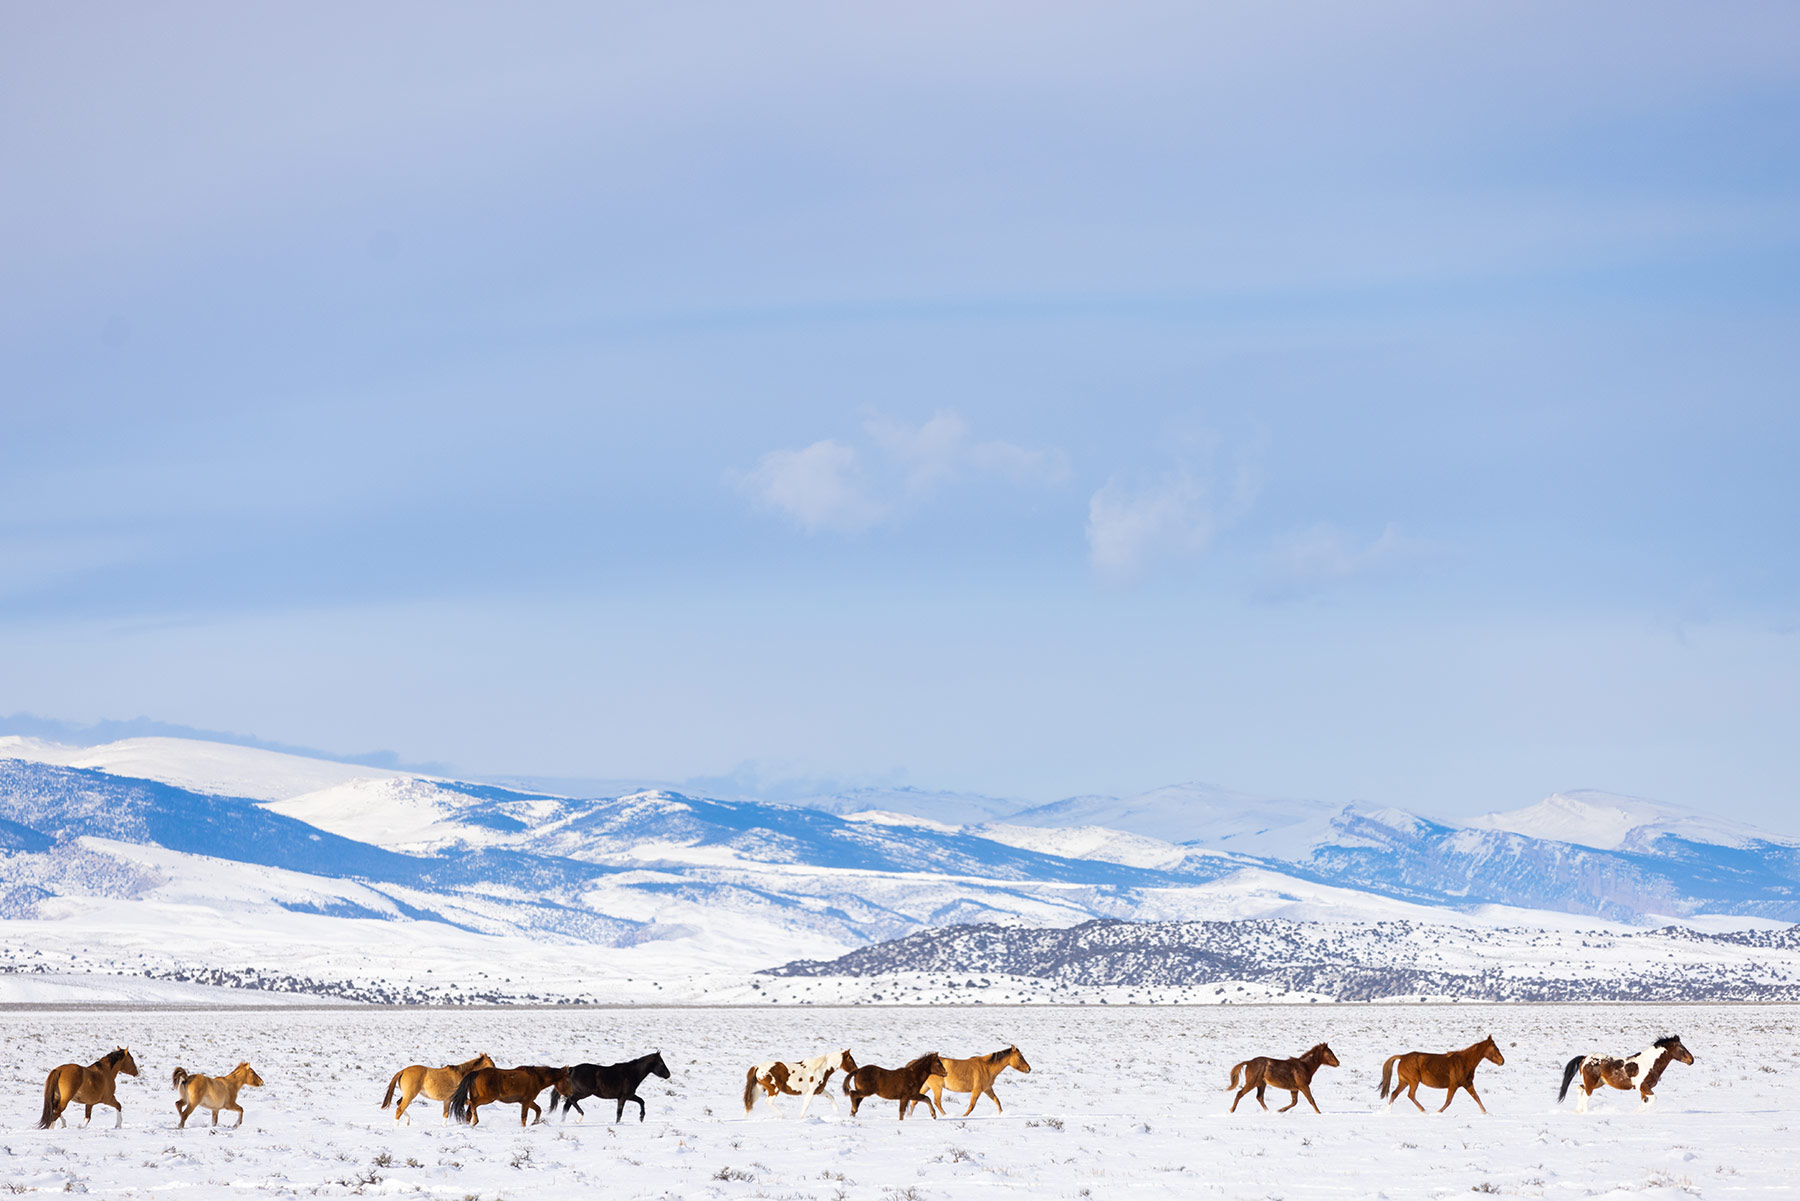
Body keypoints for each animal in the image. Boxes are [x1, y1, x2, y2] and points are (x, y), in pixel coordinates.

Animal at [1559, 1035, 1694, 1112]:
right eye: (1681, 1048)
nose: (1691, 1060)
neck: (1650, 1063)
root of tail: (1584, 1058)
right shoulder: (1643, 1086)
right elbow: (1653, 1099)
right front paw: (1638, 1110)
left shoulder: (1643, 1089)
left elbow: (1645, 1101)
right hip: (1591, 1083)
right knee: (1586, 1097)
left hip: (1597, 1083)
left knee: (1579, 1088)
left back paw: (1578, 1110)